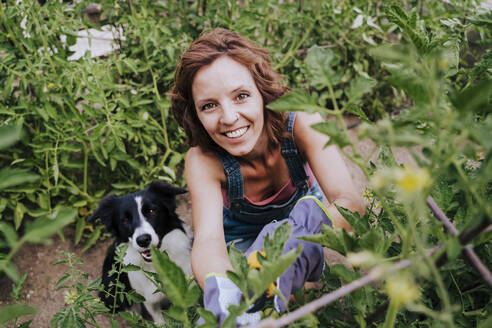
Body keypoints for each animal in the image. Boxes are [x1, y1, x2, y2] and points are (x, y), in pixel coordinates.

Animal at [89, 182, 193, 322]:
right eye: (125, 220)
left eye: (151, 211)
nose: (143, 240)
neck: (155, 265)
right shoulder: (148, 300)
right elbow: (159, 321)